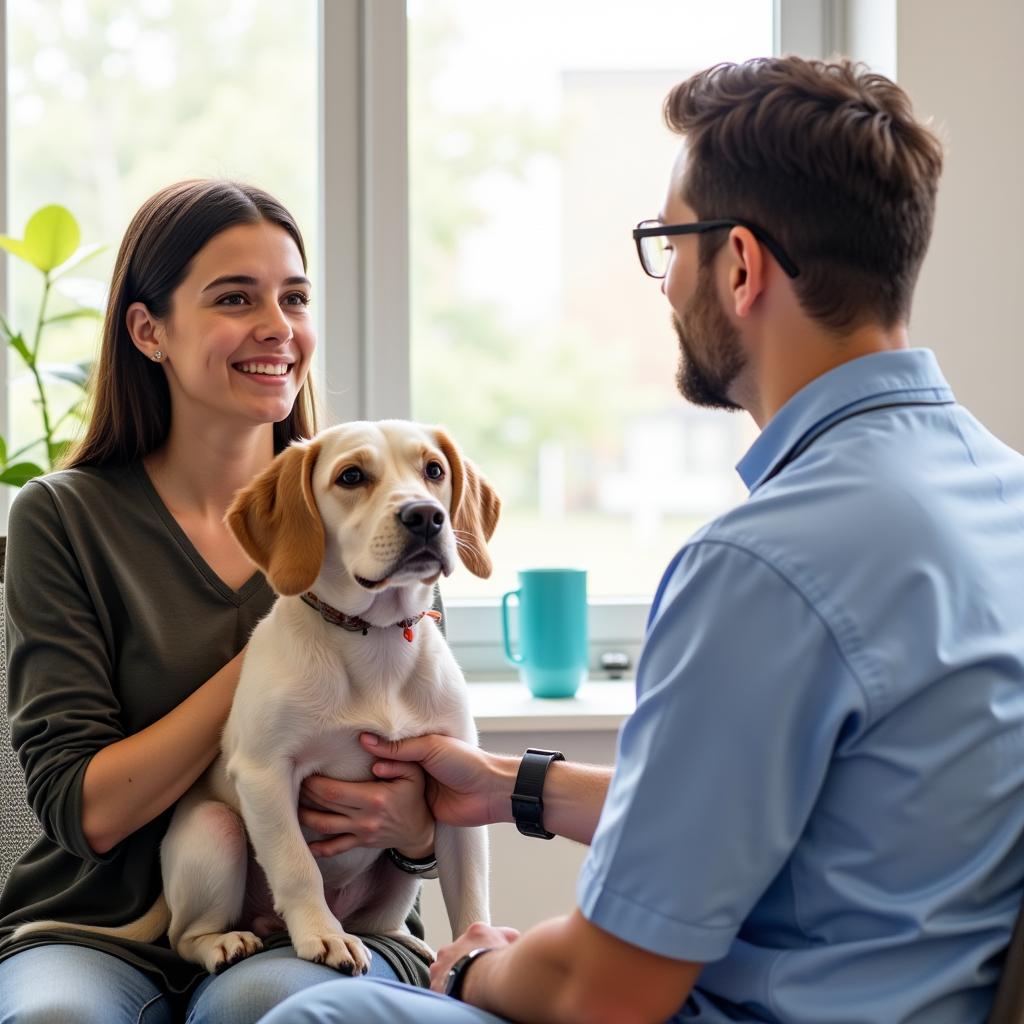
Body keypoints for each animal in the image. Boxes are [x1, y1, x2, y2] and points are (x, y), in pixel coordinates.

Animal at [14, 421, 495, 974]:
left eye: (433, 470)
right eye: (351, 476)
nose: (426, 517)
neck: (373, 642)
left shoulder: (456, 790)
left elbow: (472, 897)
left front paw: (480, 952)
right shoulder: (265, 773)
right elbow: (296, 866)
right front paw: (321, 935)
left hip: (395, 881)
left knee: (377, 923)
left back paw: (407, 942)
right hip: (215, 828)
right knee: (184, 936)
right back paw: (224, 942)